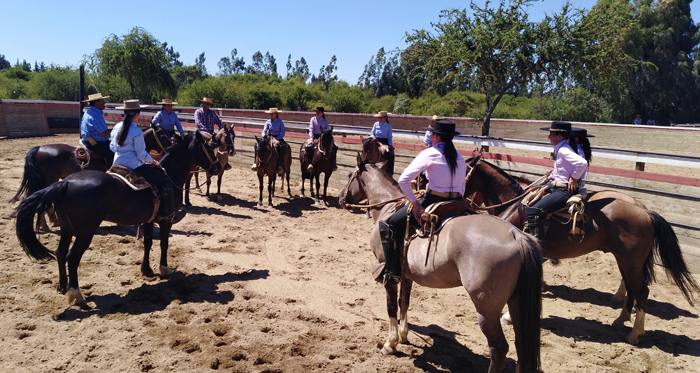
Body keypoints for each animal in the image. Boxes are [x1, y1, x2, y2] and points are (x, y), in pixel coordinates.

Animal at [11, 123, 172, 228]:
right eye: (162, 134)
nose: (171, 146)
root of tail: (39, 148)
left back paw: (51, 221)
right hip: (47, 179)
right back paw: (43, 224)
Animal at [336, 153, 544, 370]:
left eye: (350, 175)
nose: (340, 198)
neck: (386, 207)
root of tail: (516, 235)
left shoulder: (389, 274)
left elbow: (391, 306)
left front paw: (391, 343)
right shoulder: (406, 275)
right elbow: (404, 302)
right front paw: (403, 335)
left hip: (487, 309)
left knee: (499, 348)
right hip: (516, 301)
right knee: (521, 344)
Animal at [462, 154, 696, 342]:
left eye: (461, 171)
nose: (465, 202)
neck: (515, 206)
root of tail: (646, 212)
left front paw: (509, 316)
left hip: (631, 261)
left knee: (642, 291)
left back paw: (634, 334)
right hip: (626, 260)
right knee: (632, 288)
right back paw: (620, 320)